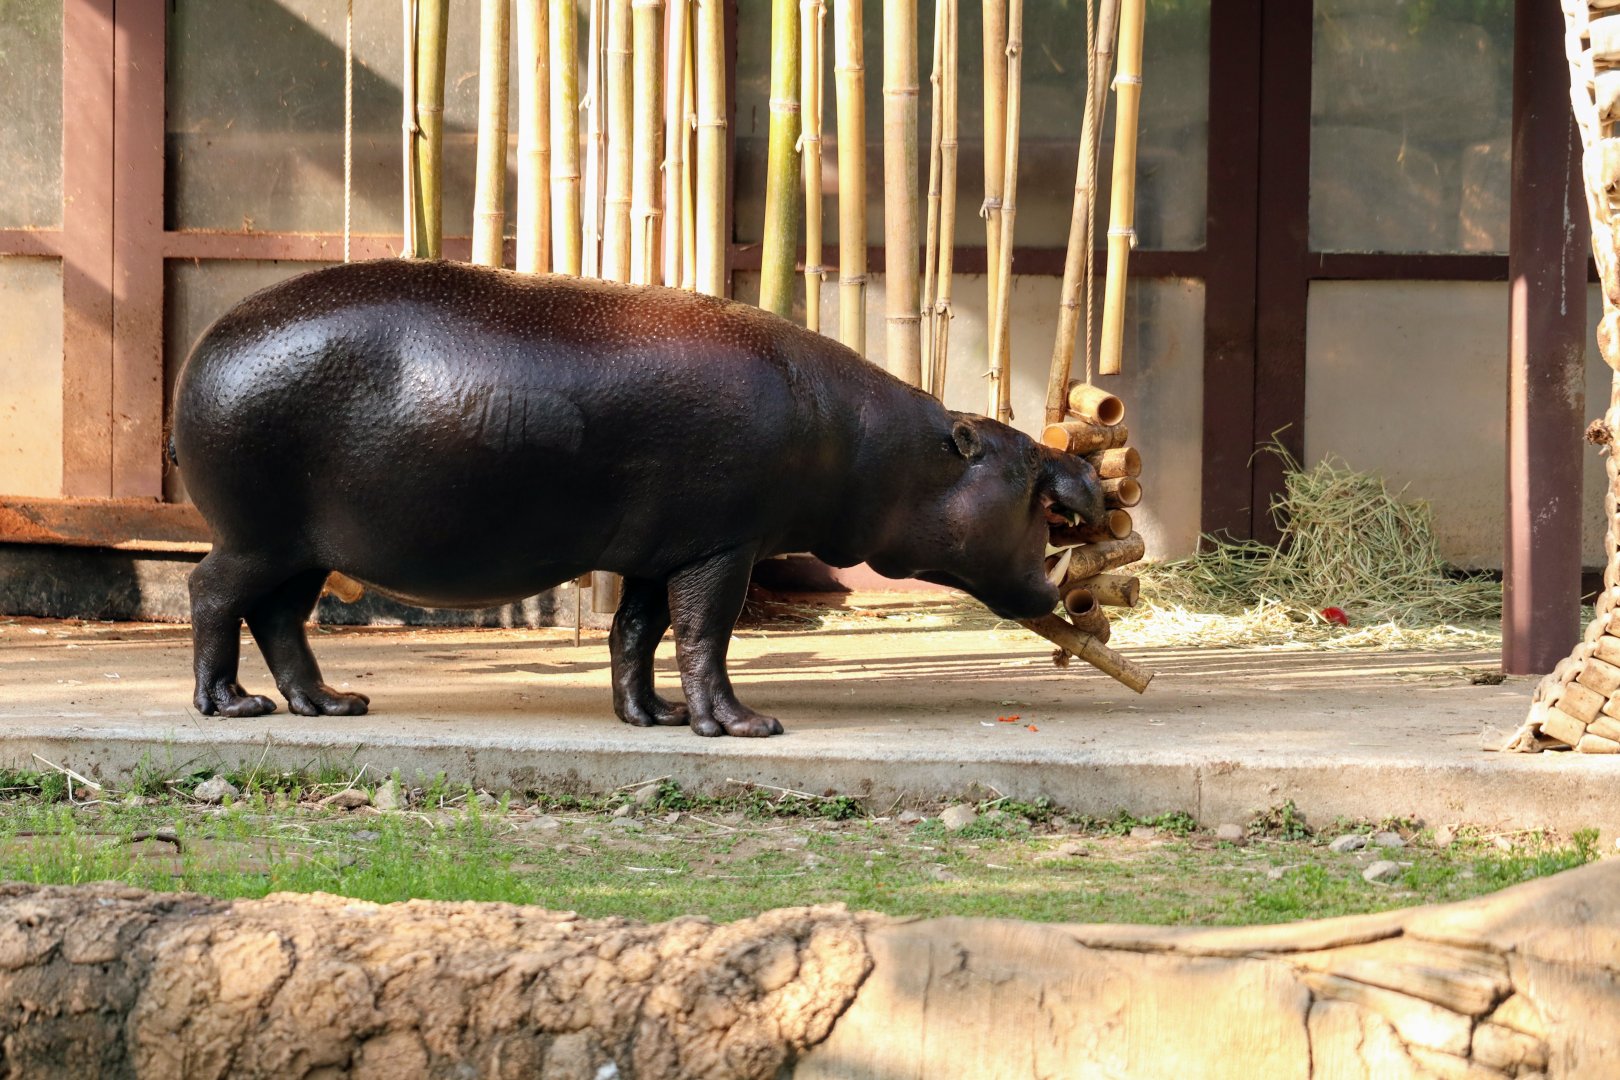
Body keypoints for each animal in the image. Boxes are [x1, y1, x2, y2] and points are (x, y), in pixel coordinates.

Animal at [170, 259, 1105, 736]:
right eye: (1021, 462)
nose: (1091, 483)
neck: (883, 452)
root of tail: (204, 345)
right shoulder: (721, 547)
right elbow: (705, 636)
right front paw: (741, 725)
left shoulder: (666, 549)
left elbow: (638, 633)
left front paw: (650, 716)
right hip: (258, 533)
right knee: (212, 593)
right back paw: (231, 707)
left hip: (307, 545)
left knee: (281, 617)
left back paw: (331, 704)